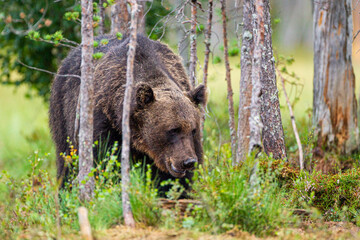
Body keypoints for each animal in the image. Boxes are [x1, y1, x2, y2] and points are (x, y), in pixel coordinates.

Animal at [48, 34, 205, 191]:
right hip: (63, 112)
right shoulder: (104, 121)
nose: (188, 161)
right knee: (66, 159)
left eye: (193, 130)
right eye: (172, 130)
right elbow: (105, 162)